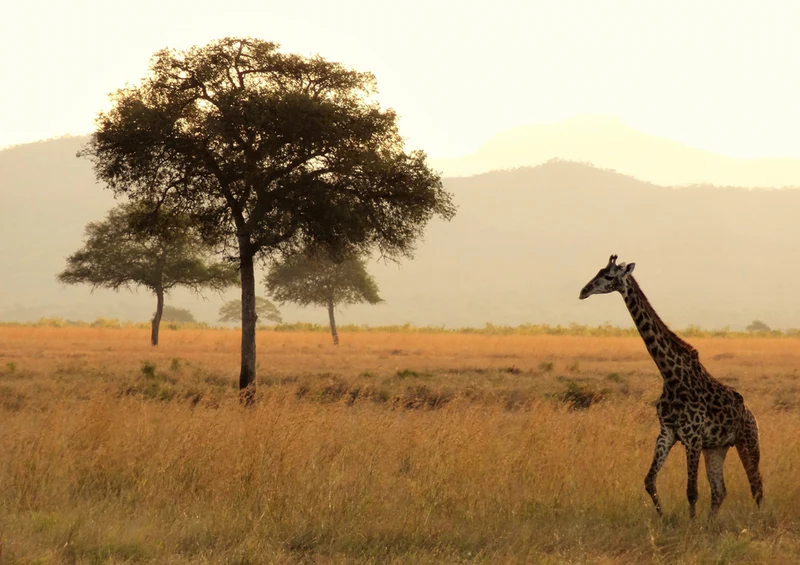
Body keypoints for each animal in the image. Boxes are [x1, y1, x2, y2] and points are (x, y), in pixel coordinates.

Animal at [579, 255, 763, 519]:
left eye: (609, 276)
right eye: (598, 271)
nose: (583, 291)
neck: (671, 376)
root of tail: (750, 412)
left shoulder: (693, 437)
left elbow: (692, 491)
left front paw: (690, 524)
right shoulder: (667, 432)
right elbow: (649, 481)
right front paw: (664, 519)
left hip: (748, 441)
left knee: (756, 486)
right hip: (716, 448)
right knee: (720, 490)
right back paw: (710, 523)